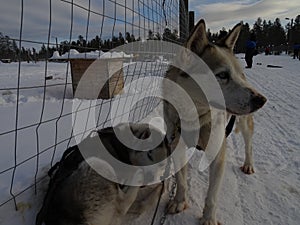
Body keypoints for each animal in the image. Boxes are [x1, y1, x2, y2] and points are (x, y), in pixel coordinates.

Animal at [36, 123, 168, 225]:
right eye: (149, 155)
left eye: (162, 165)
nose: (151, 178)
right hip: (98, 164)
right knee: (123, 204)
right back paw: (138, 178)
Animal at [163, 20, 266, 224]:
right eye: (223, 75)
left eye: (239, 74)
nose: (261, 100)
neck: (193, 117)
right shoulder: (176, 146)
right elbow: (180, 180)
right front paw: (179, 201)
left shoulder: (218, 154)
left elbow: (212, 195)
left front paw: (209, 218)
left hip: (245, 125)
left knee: (249, 145)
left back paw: (248, 164)